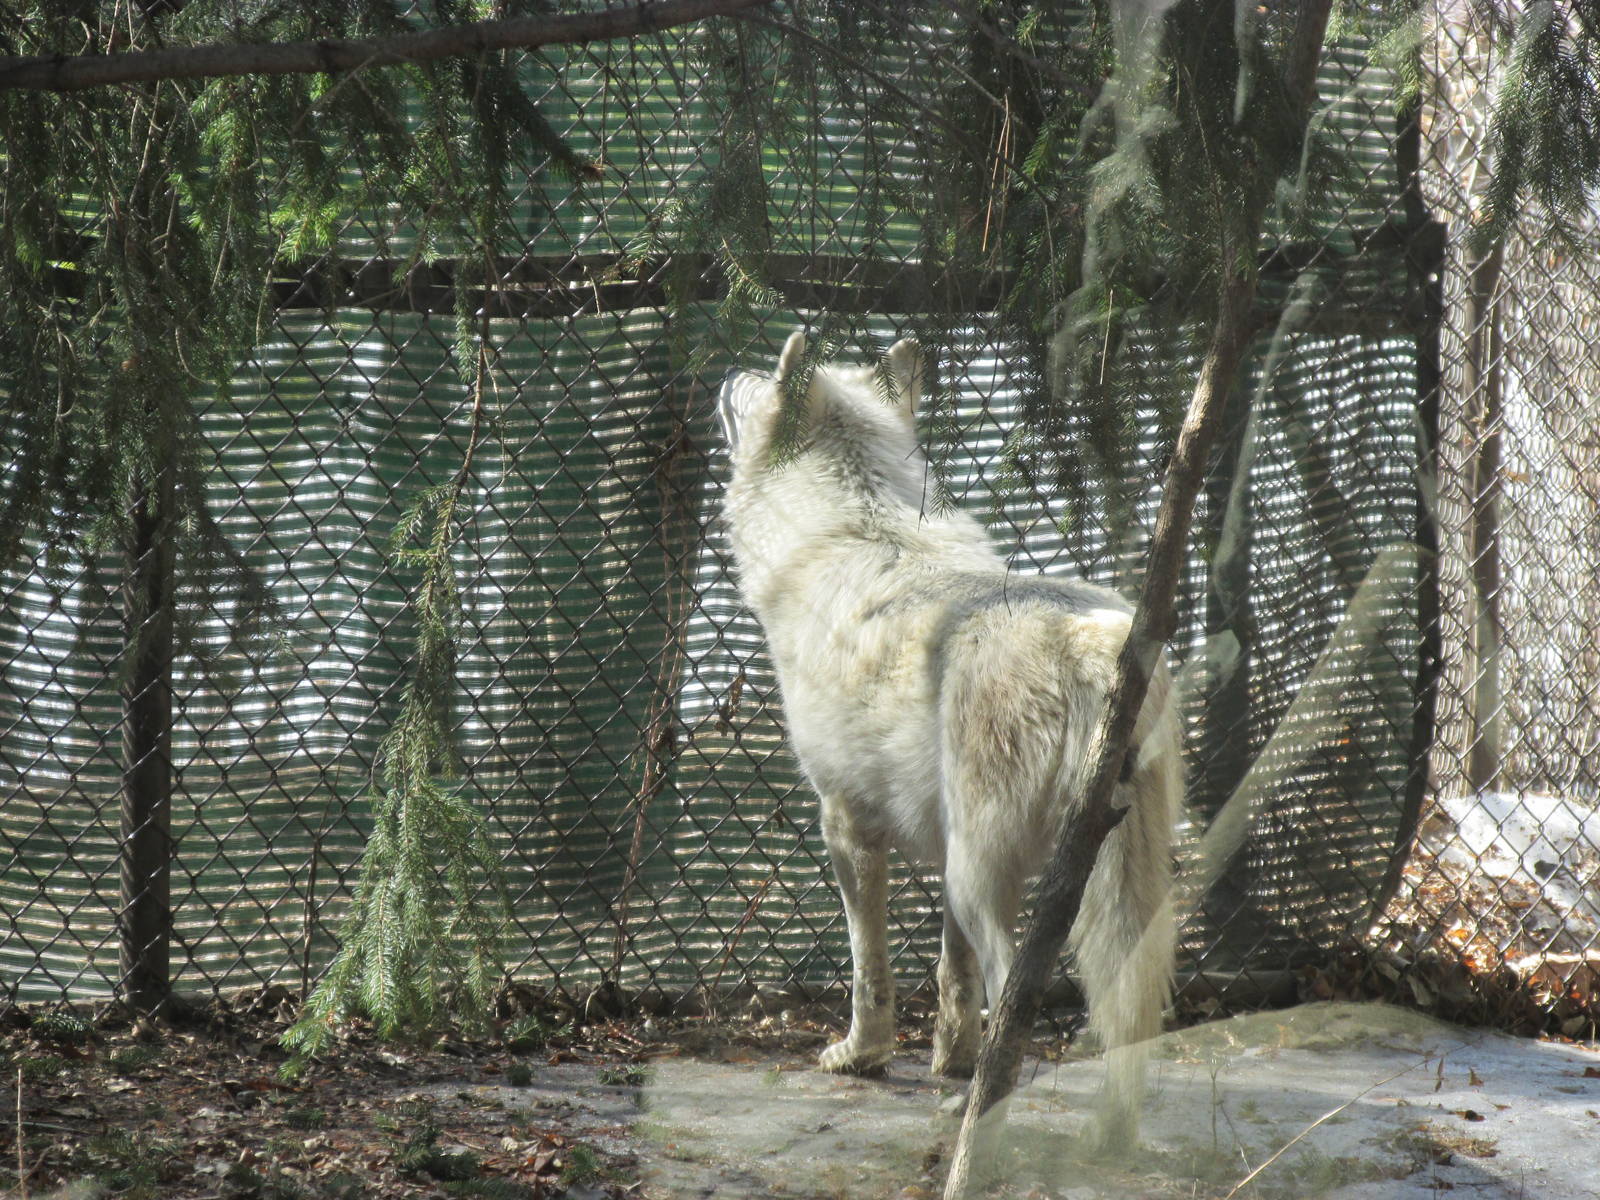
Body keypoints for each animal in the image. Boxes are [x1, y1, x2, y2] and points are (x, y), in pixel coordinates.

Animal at [718, 331, 1181, 1143]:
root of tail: (1091, 650)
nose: (728, 372)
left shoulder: (845, 822)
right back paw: (1108, 1134)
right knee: (1119, 1010)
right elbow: (952, 977)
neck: (856, 520)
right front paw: (950, 1060)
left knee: (1017, 991)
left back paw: (985, 1117)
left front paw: (862, 1057)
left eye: (759, 384)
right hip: (1070, 874)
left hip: (984, 876)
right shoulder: (942, 844)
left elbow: (869, 968)